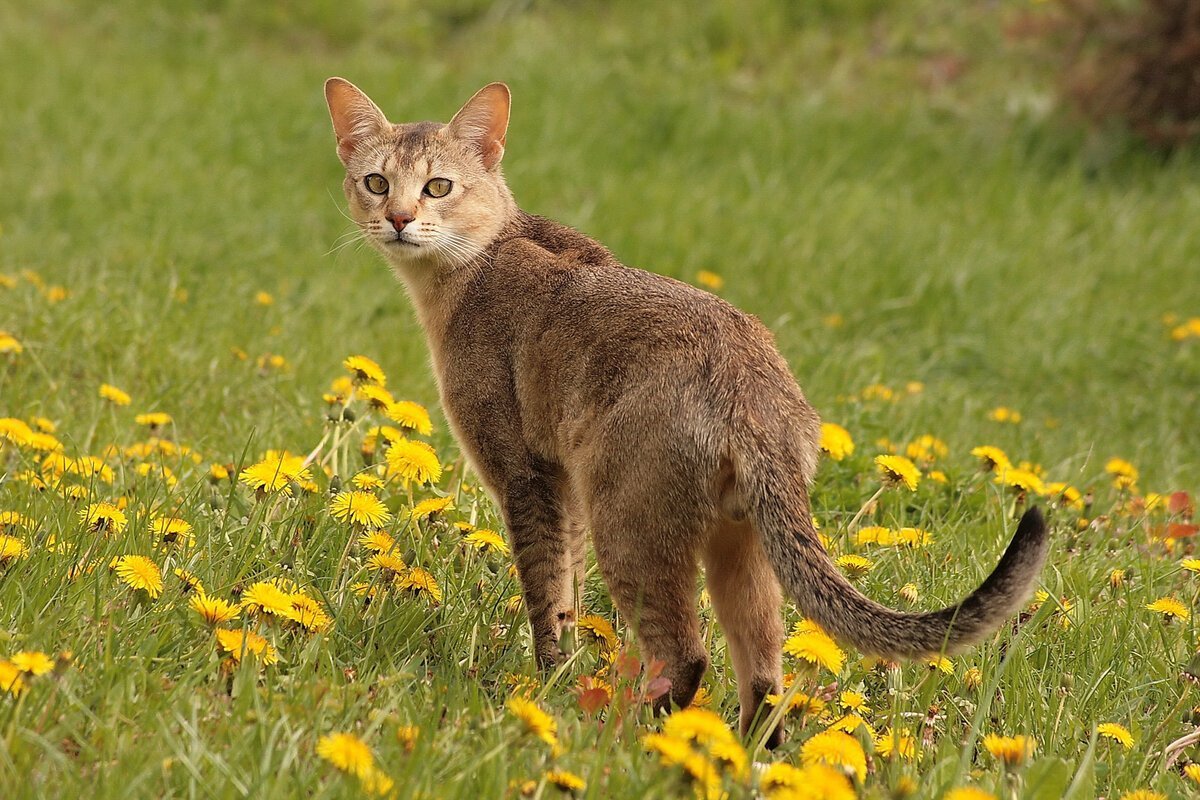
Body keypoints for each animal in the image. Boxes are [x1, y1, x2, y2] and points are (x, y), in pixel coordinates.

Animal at [324, 77, 1046, 748]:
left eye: (438, 186)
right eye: (377, 181)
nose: (397, 218)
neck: (480, 262)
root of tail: (751, 386)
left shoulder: (525, 475)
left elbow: (546, 593)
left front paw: (548, 685)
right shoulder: (565, 487)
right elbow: (568, 593)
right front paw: (568, 676)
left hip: (630, 521)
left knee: (686, 655)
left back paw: (636, 743)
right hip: (739, 543)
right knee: (765, 674)